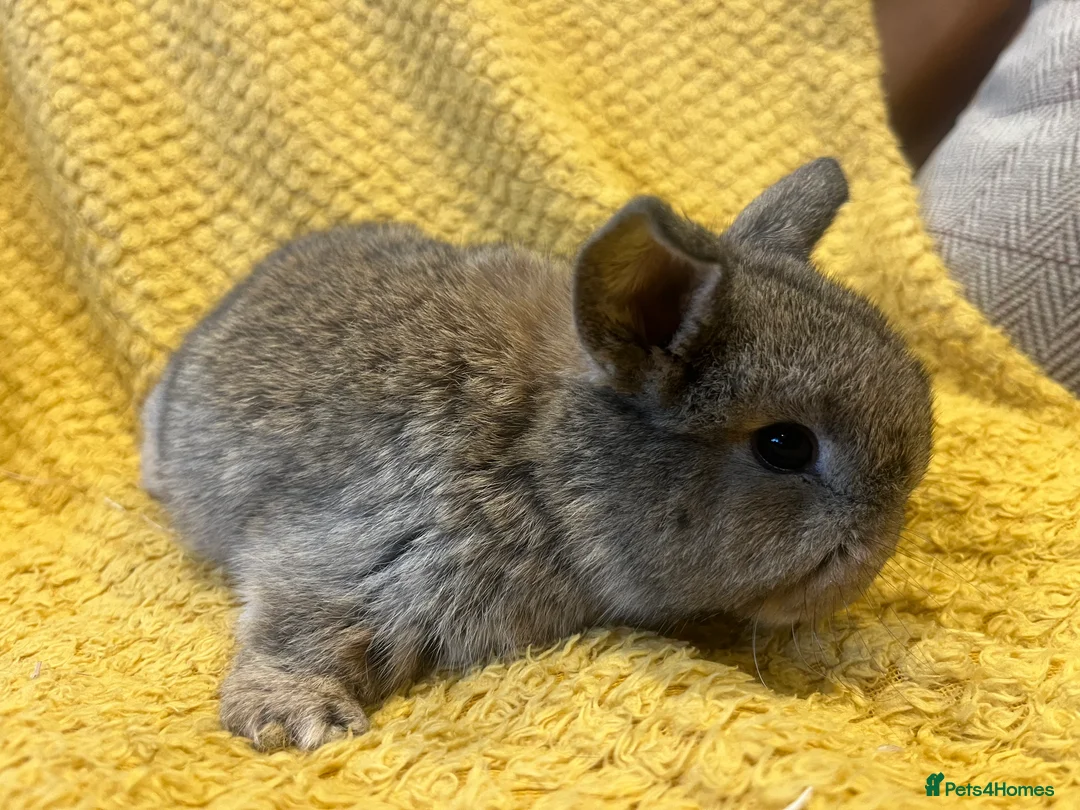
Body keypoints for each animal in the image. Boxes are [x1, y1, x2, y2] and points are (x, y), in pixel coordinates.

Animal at [141, 157, 934, 751]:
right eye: (784, 445)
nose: (877, 551)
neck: (541, 460)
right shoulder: (363, 552)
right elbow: (300, 627)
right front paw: (299, 720)